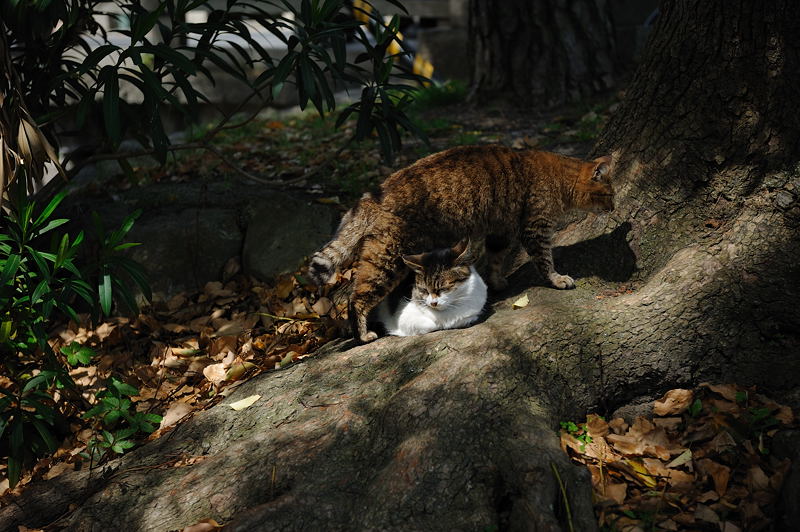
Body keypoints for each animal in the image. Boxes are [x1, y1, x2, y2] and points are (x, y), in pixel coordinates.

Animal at [310, 145, 616, 342]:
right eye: (609, 194)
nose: (614, 207)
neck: (559, 175)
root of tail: (372, 196)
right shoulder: (535, 228)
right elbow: (545, 259)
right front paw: (557, 278)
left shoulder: (500, 229)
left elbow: (495, 259)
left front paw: (497, 281)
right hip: (387, 261)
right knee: (356, 297)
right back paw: (362, 334)